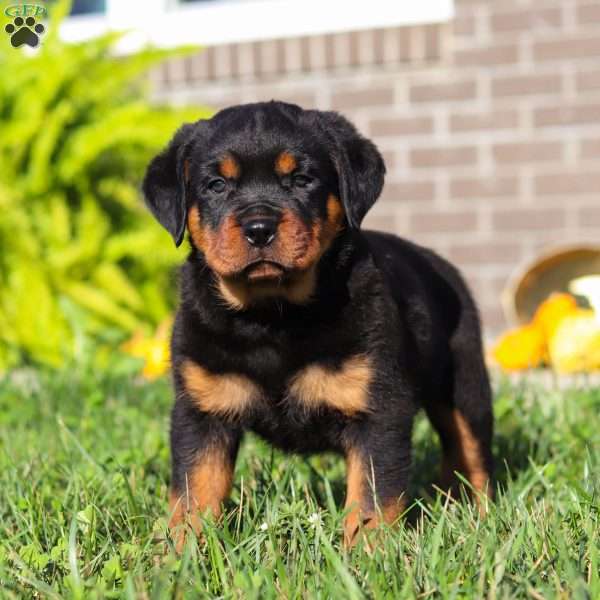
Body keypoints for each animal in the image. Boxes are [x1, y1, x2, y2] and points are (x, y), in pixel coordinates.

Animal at [143, 101, 494, 552]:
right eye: (216, 185)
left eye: (302, 180)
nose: (259, 228)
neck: (271, 316)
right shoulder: (201, 410)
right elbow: (194, 492)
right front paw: (180, 555)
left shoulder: (380, 409)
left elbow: (372, 499)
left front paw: (367, 556)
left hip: (465, 384)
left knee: (471, 452)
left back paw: (478, 519)